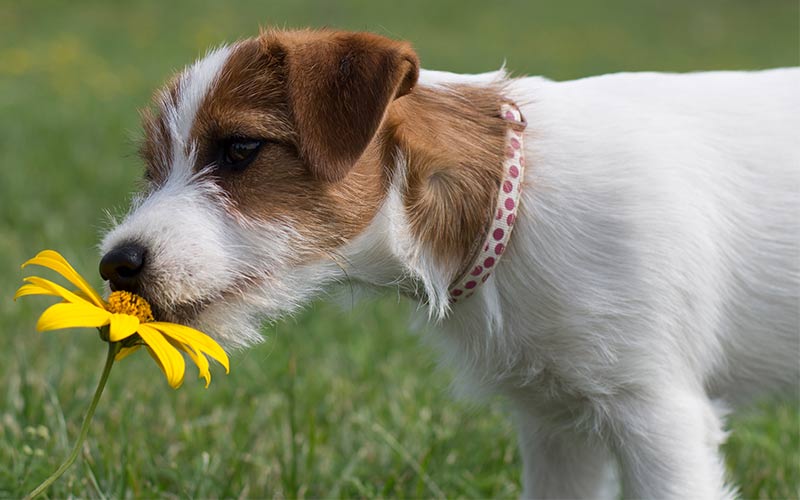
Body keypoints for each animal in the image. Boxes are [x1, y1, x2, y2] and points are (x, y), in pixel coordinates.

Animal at [100, 29, 800, 498]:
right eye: (151, 168)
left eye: (241, 149)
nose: (115, 263)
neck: (509, 201)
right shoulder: (554, 426)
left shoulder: (657, 416)